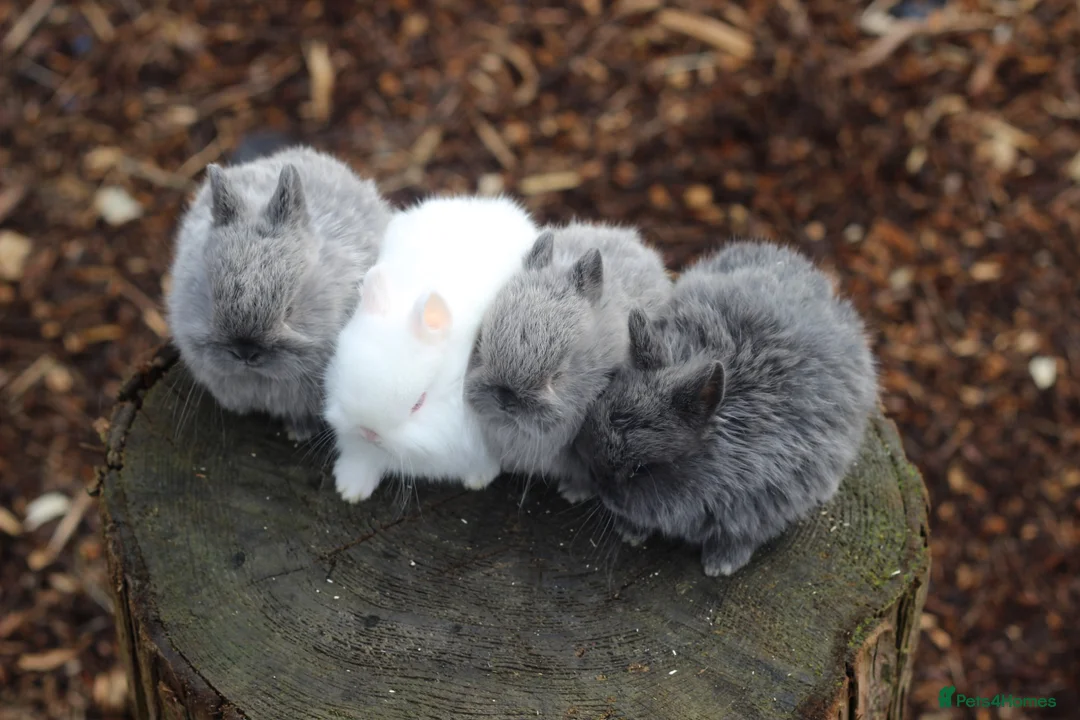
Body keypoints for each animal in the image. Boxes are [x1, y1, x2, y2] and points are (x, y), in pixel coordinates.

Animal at [324, 196, 540, 503]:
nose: (369, 432)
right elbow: (361, 458)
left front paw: (478, 479)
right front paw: (350, 489)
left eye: (419, 403)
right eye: (342, 370)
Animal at [570, 239, 879, 577]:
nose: (601, 488)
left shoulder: (762, 507)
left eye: (642, 469)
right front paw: (631, 532)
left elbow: (740, 536)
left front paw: (720, 565)